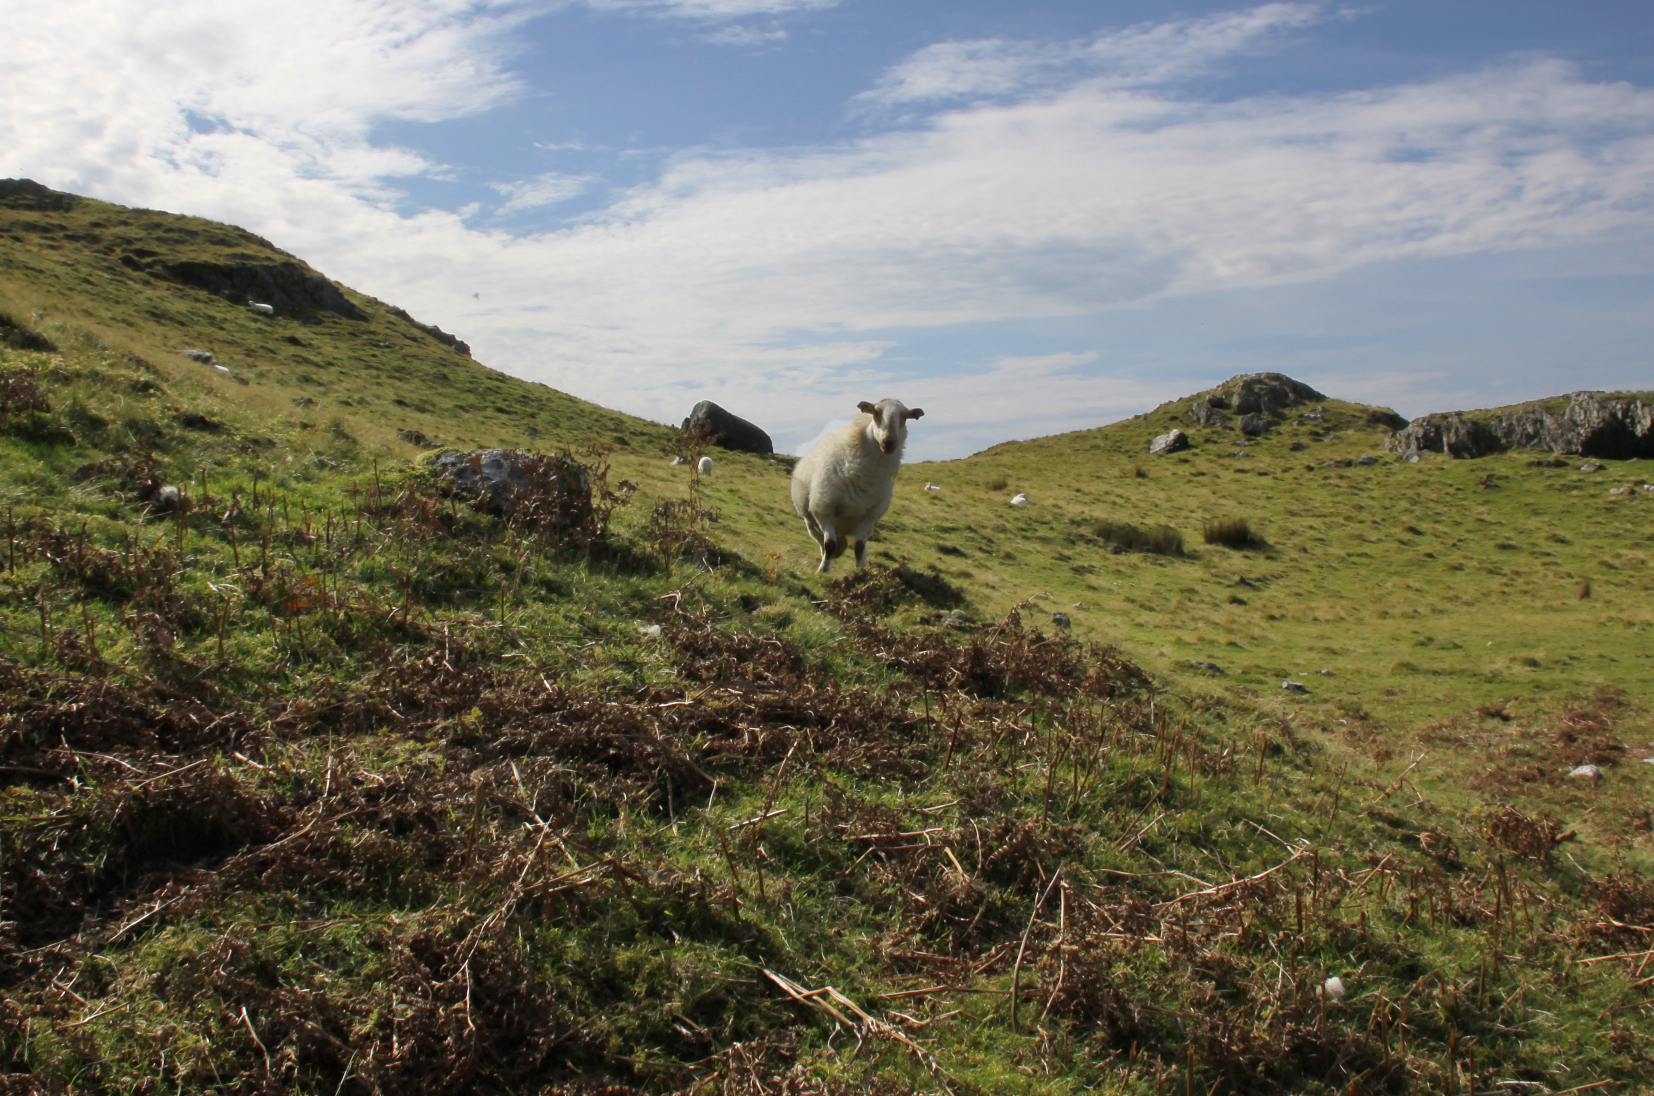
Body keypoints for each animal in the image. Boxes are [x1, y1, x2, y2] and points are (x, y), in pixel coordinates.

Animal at [790, 398, 924, 573]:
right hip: (811, 522)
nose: (889, 442)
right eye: (876, 413)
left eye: (905, 417)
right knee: (824, 542)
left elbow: (859, 547)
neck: (865, 478)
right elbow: (829, 545)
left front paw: (861, 573)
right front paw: (823, 571)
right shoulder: (824, 509)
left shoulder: (868, 515)